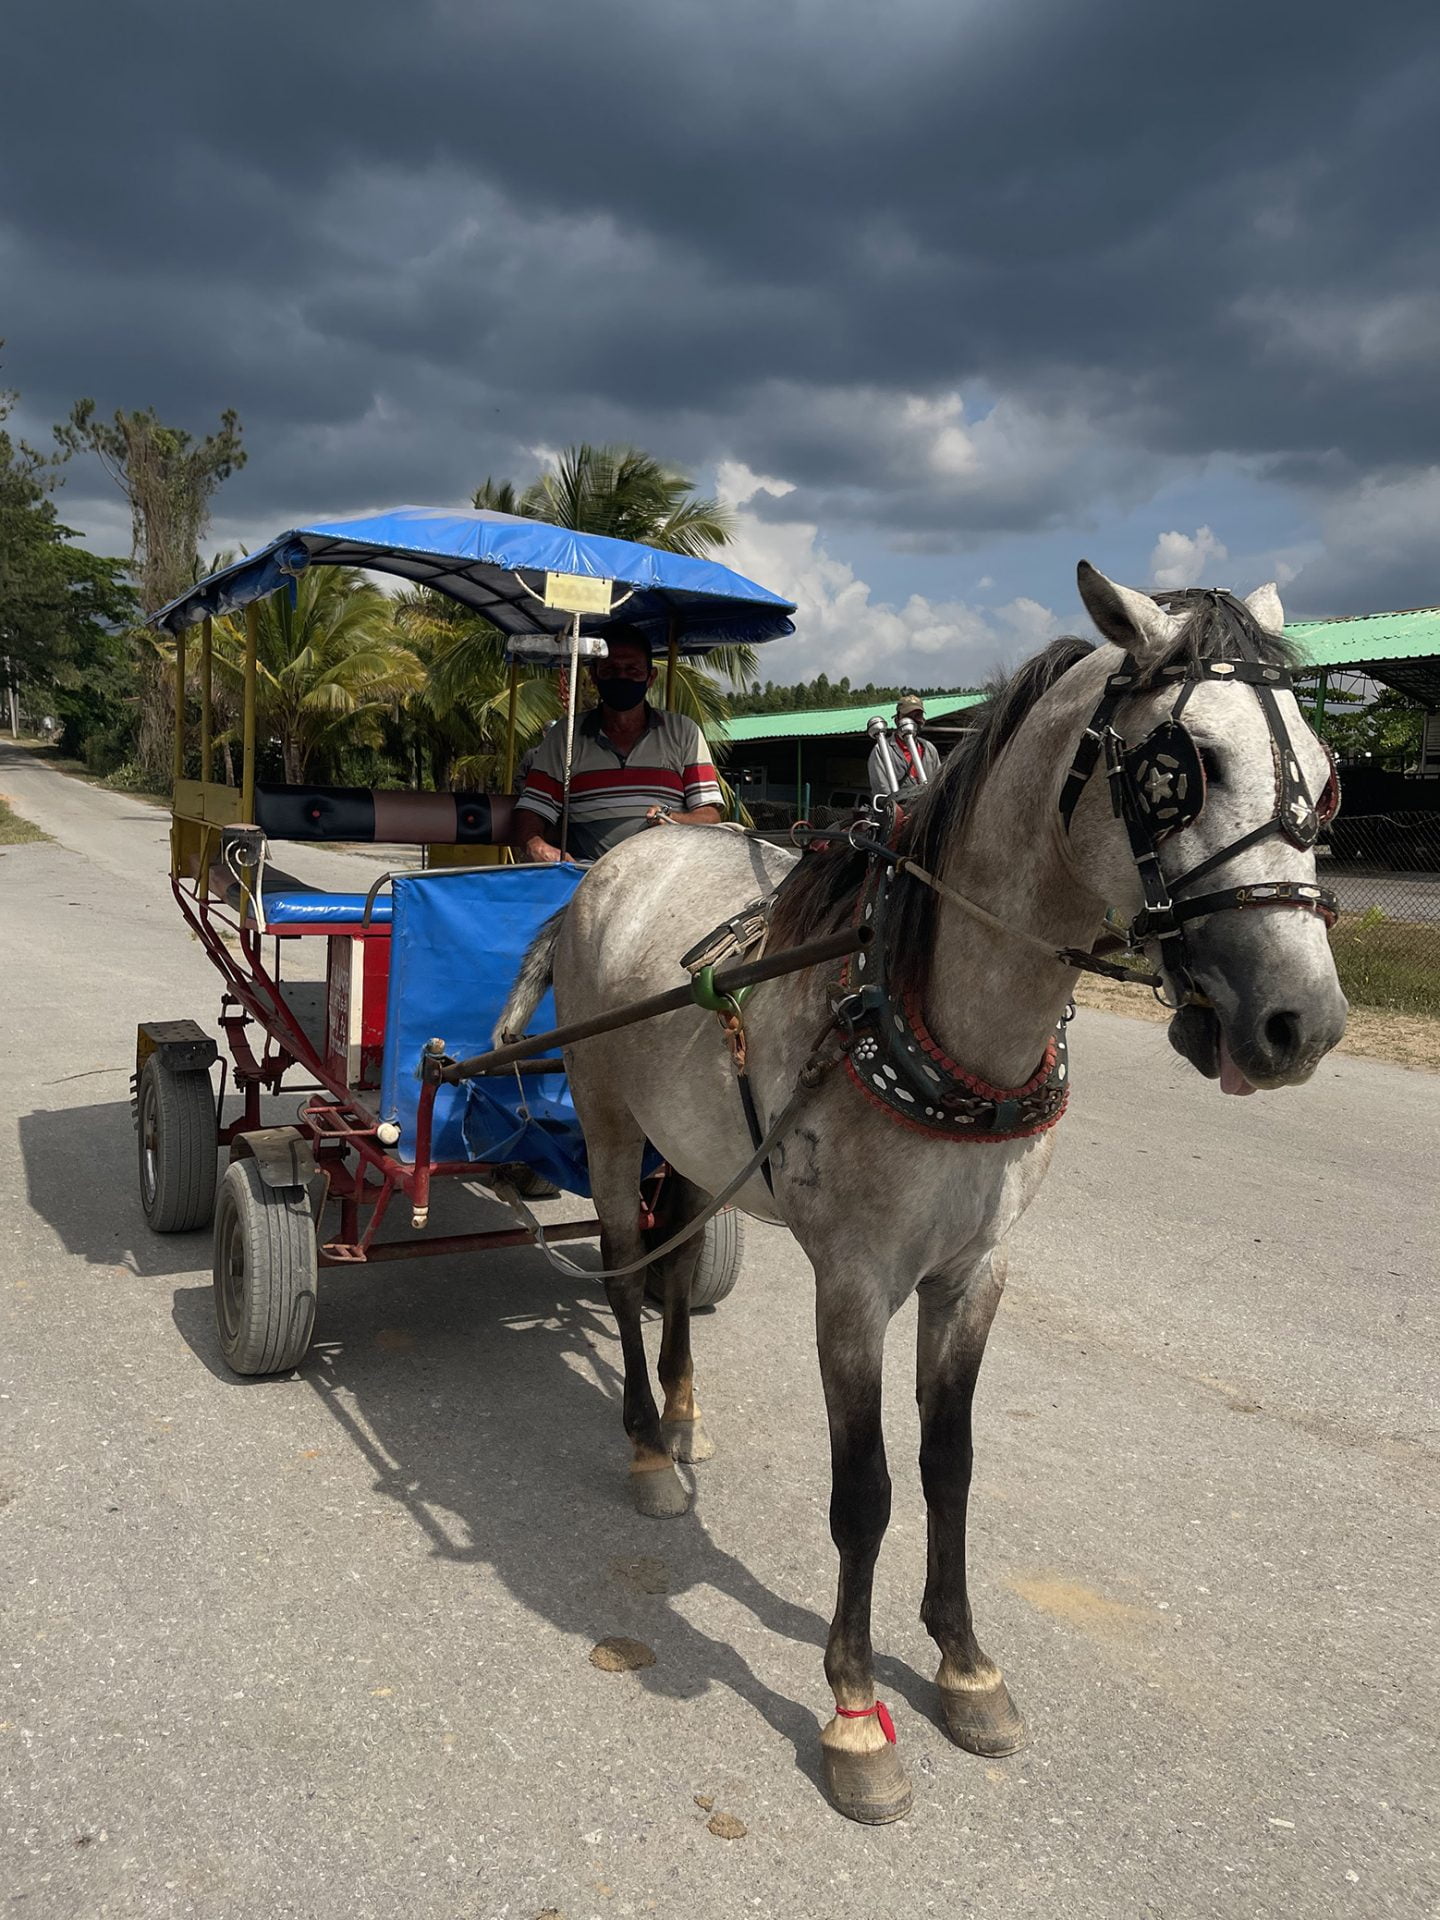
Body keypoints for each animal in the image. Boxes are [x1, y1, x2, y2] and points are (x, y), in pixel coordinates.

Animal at [499, 560, 1351, 1820]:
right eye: (1179, 766)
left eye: (1327, 782)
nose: (1304, 1022)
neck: (934, 1012)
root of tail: (611, 866)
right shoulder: (853, 1284)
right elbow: (865, 1491)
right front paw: (856, 1712)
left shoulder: (975, 1272)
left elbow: (949, 1466)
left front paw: (963, 1664)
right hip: (607, 1122)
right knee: (619, 1266)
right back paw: (650, 1447)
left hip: (691, 1146)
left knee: (673, 1261)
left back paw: (686, 1414)